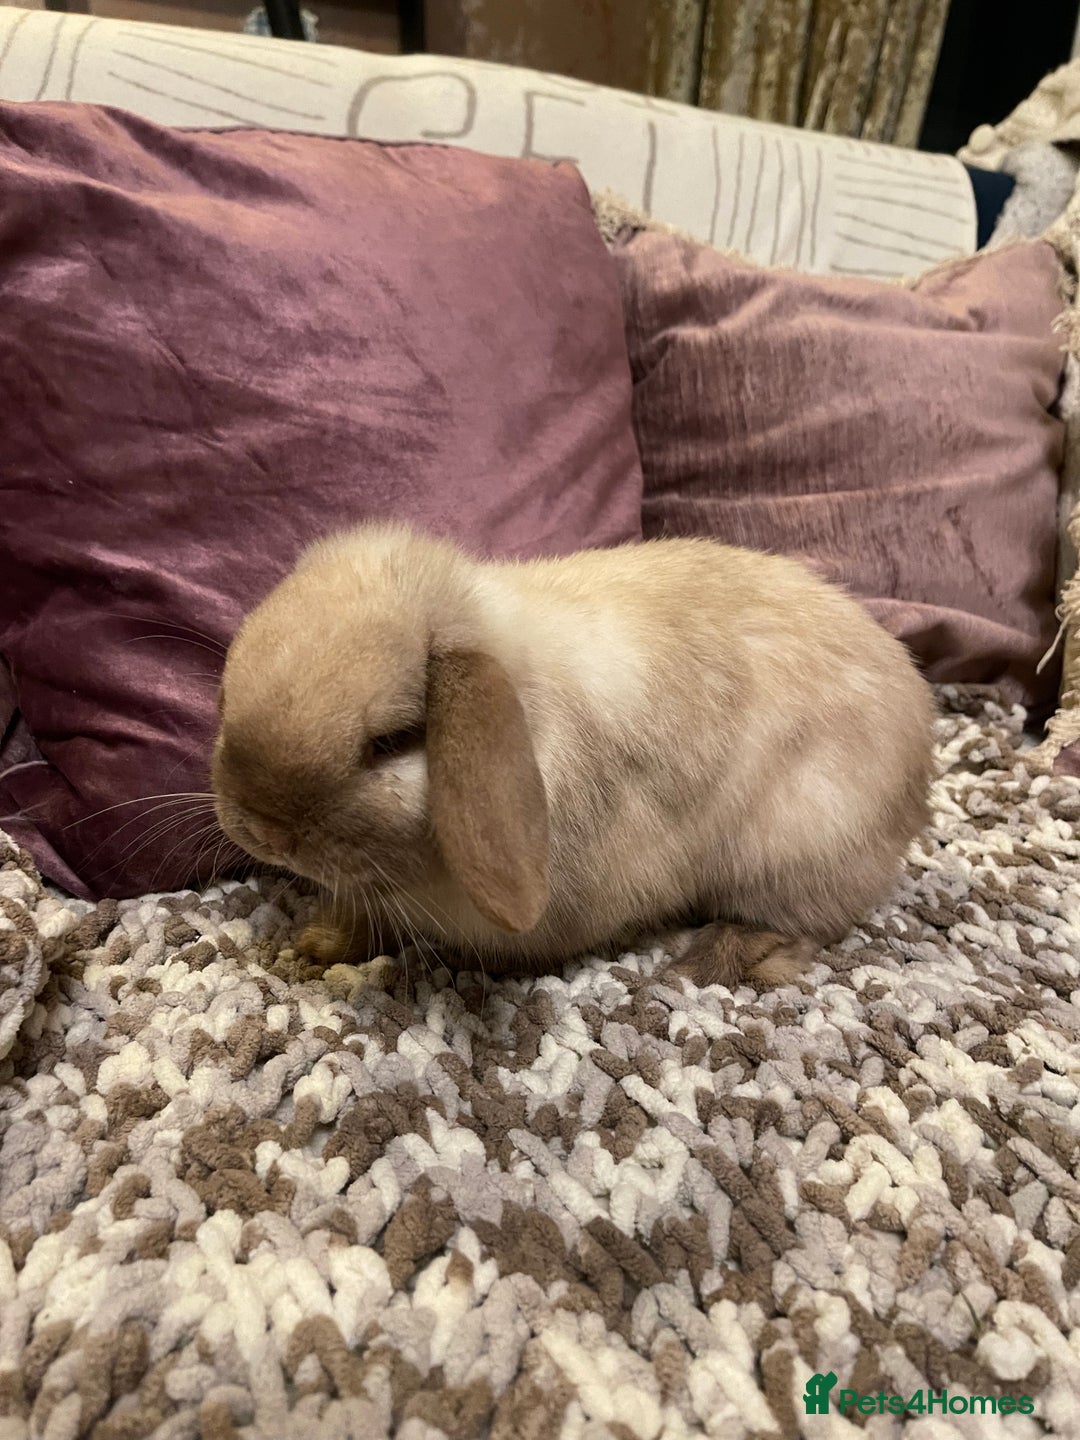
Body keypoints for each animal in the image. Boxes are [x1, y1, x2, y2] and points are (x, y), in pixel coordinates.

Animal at [211, 522, 935, 991]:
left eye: (390, 740)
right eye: (223, 695)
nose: (266, 832)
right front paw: (310, 948)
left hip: (796, 849)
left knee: (801, 925)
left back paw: (703, 963)